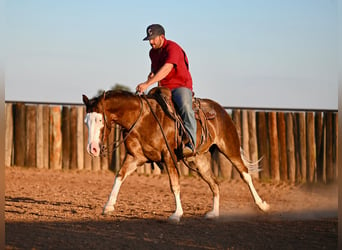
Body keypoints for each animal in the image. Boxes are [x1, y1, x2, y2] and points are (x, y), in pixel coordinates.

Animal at [83, 89, 270, 222]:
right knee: (215, 184)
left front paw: (177, 213)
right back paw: (214, 213)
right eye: (86, 121)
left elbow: (174, 184)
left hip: (230, 148)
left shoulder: (168, 156)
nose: (92, 149)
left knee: (245, 174)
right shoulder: (135, 157)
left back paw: (262, 205)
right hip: (199, 162)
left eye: (100, 120)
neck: (142, 119)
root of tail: (221, 110)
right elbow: (119, 176)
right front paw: (108, 206)